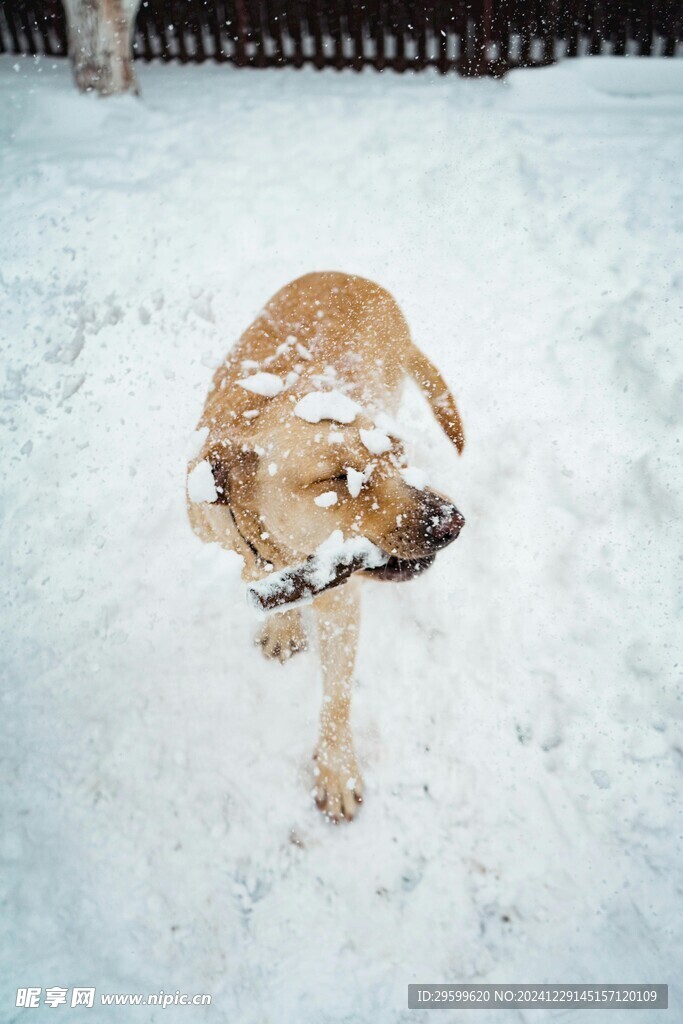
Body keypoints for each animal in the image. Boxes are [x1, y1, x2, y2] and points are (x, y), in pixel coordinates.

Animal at [187, 272, 464, 823]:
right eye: (336, 478)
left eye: (397, 455)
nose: (453, 523)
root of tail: (359, 278)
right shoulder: (234, 541)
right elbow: (259, 573)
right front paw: (282, 622)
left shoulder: (341, 600)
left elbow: (336, 695)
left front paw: (336, 770)